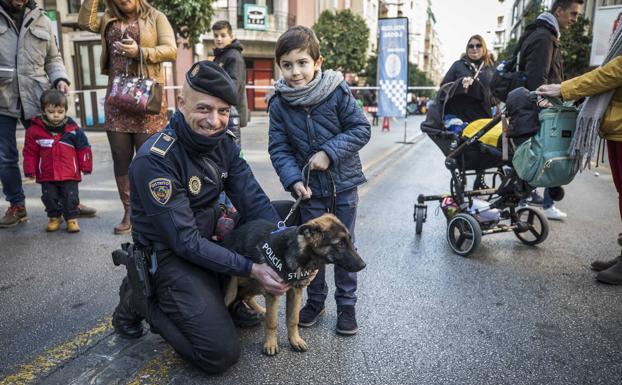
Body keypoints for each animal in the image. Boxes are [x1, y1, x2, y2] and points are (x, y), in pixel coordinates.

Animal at [223, 213, 366, 354]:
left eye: (349, 240)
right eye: (340, 244)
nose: (364, 265)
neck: (297, 253)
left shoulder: (296, 290)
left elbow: (293, 319)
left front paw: (295, 341)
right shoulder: (272, 290)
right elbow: (272, 321)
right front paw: (270, 343)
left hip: (256, 283)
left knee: (246, 296)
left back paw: (260, 310)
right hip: (240, 282)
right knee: (236, 296)